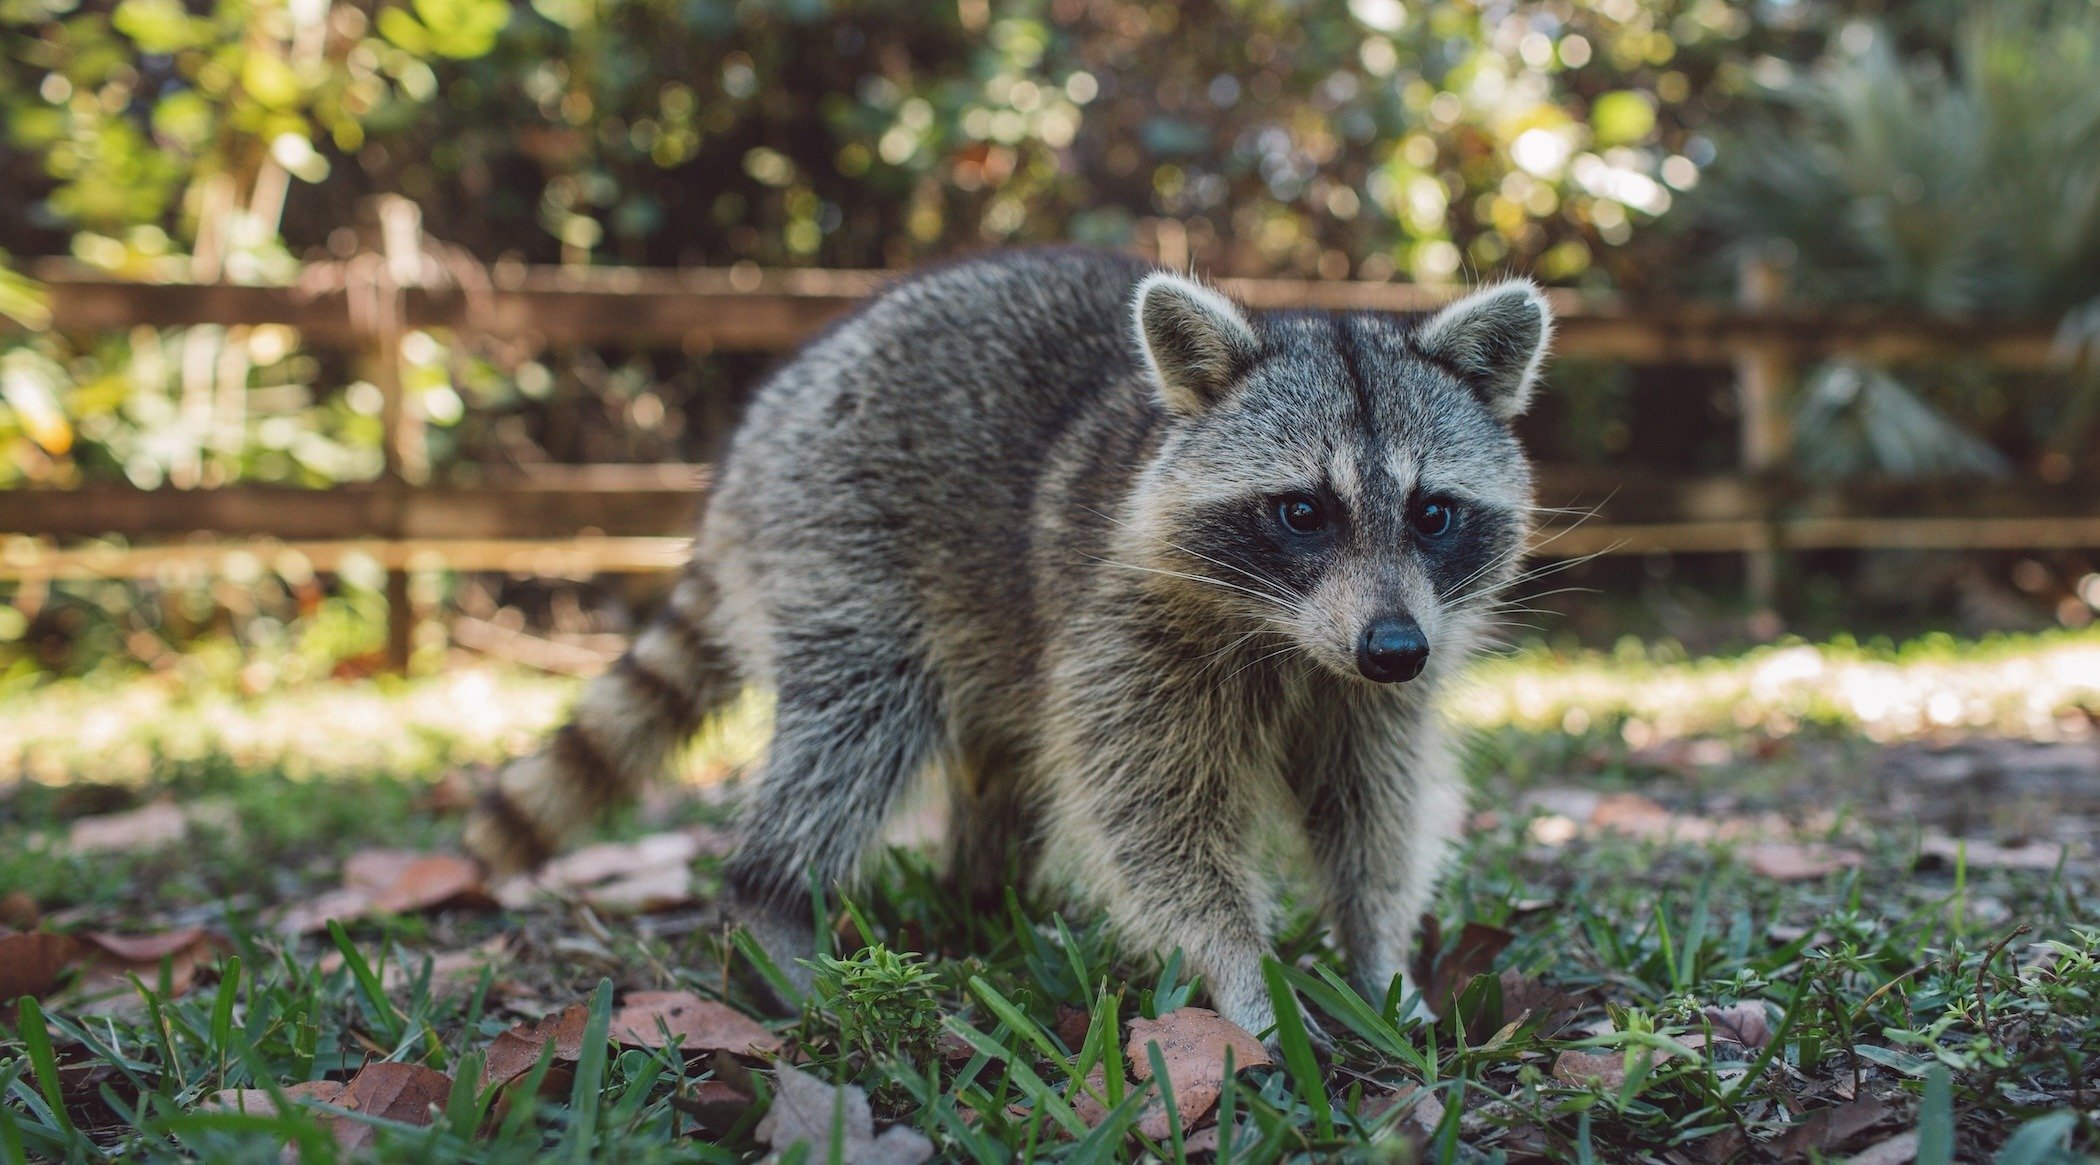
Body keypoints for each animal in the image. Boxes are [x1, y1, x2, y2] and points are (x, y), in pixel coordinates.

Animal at [468, 246, 1553, 1041]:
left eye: (1433, 512)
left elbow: (1372, 810)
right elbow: (1153, 817)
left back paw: (982, 896)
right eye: (1302, 511)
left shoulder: (1374, 679)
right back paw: (772, 896)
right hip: (840, 529)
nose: (1395, 650)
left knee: (1000, 754)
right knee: (856, 722)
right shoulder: (1126, 627)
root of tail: (763, 423)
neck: (1291, 638)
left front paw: (1378, 958)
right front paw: (1241, 971)